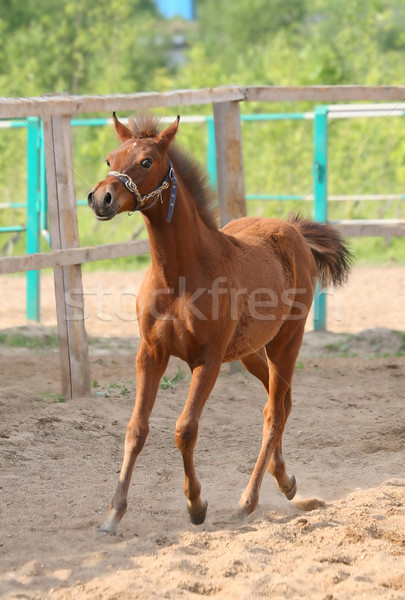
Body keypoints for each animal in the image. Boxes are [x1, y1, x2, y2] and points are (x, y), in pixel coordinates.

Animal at [87, 113, 350, 536]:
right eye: (110, 159)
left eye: (145, 161)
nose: (101, 198)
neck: (179, 276)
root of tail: (293, 230)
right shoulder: (151, 354)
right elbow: (136, 428)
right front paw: (113, 512)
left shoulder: (206, 360)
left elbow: (185, 429)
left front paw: (196, 504)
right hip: (249, 352)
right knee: (280, 402)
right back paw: (285, 480)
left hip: (285, 343)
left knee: (274, 412)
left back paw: (248, 501)